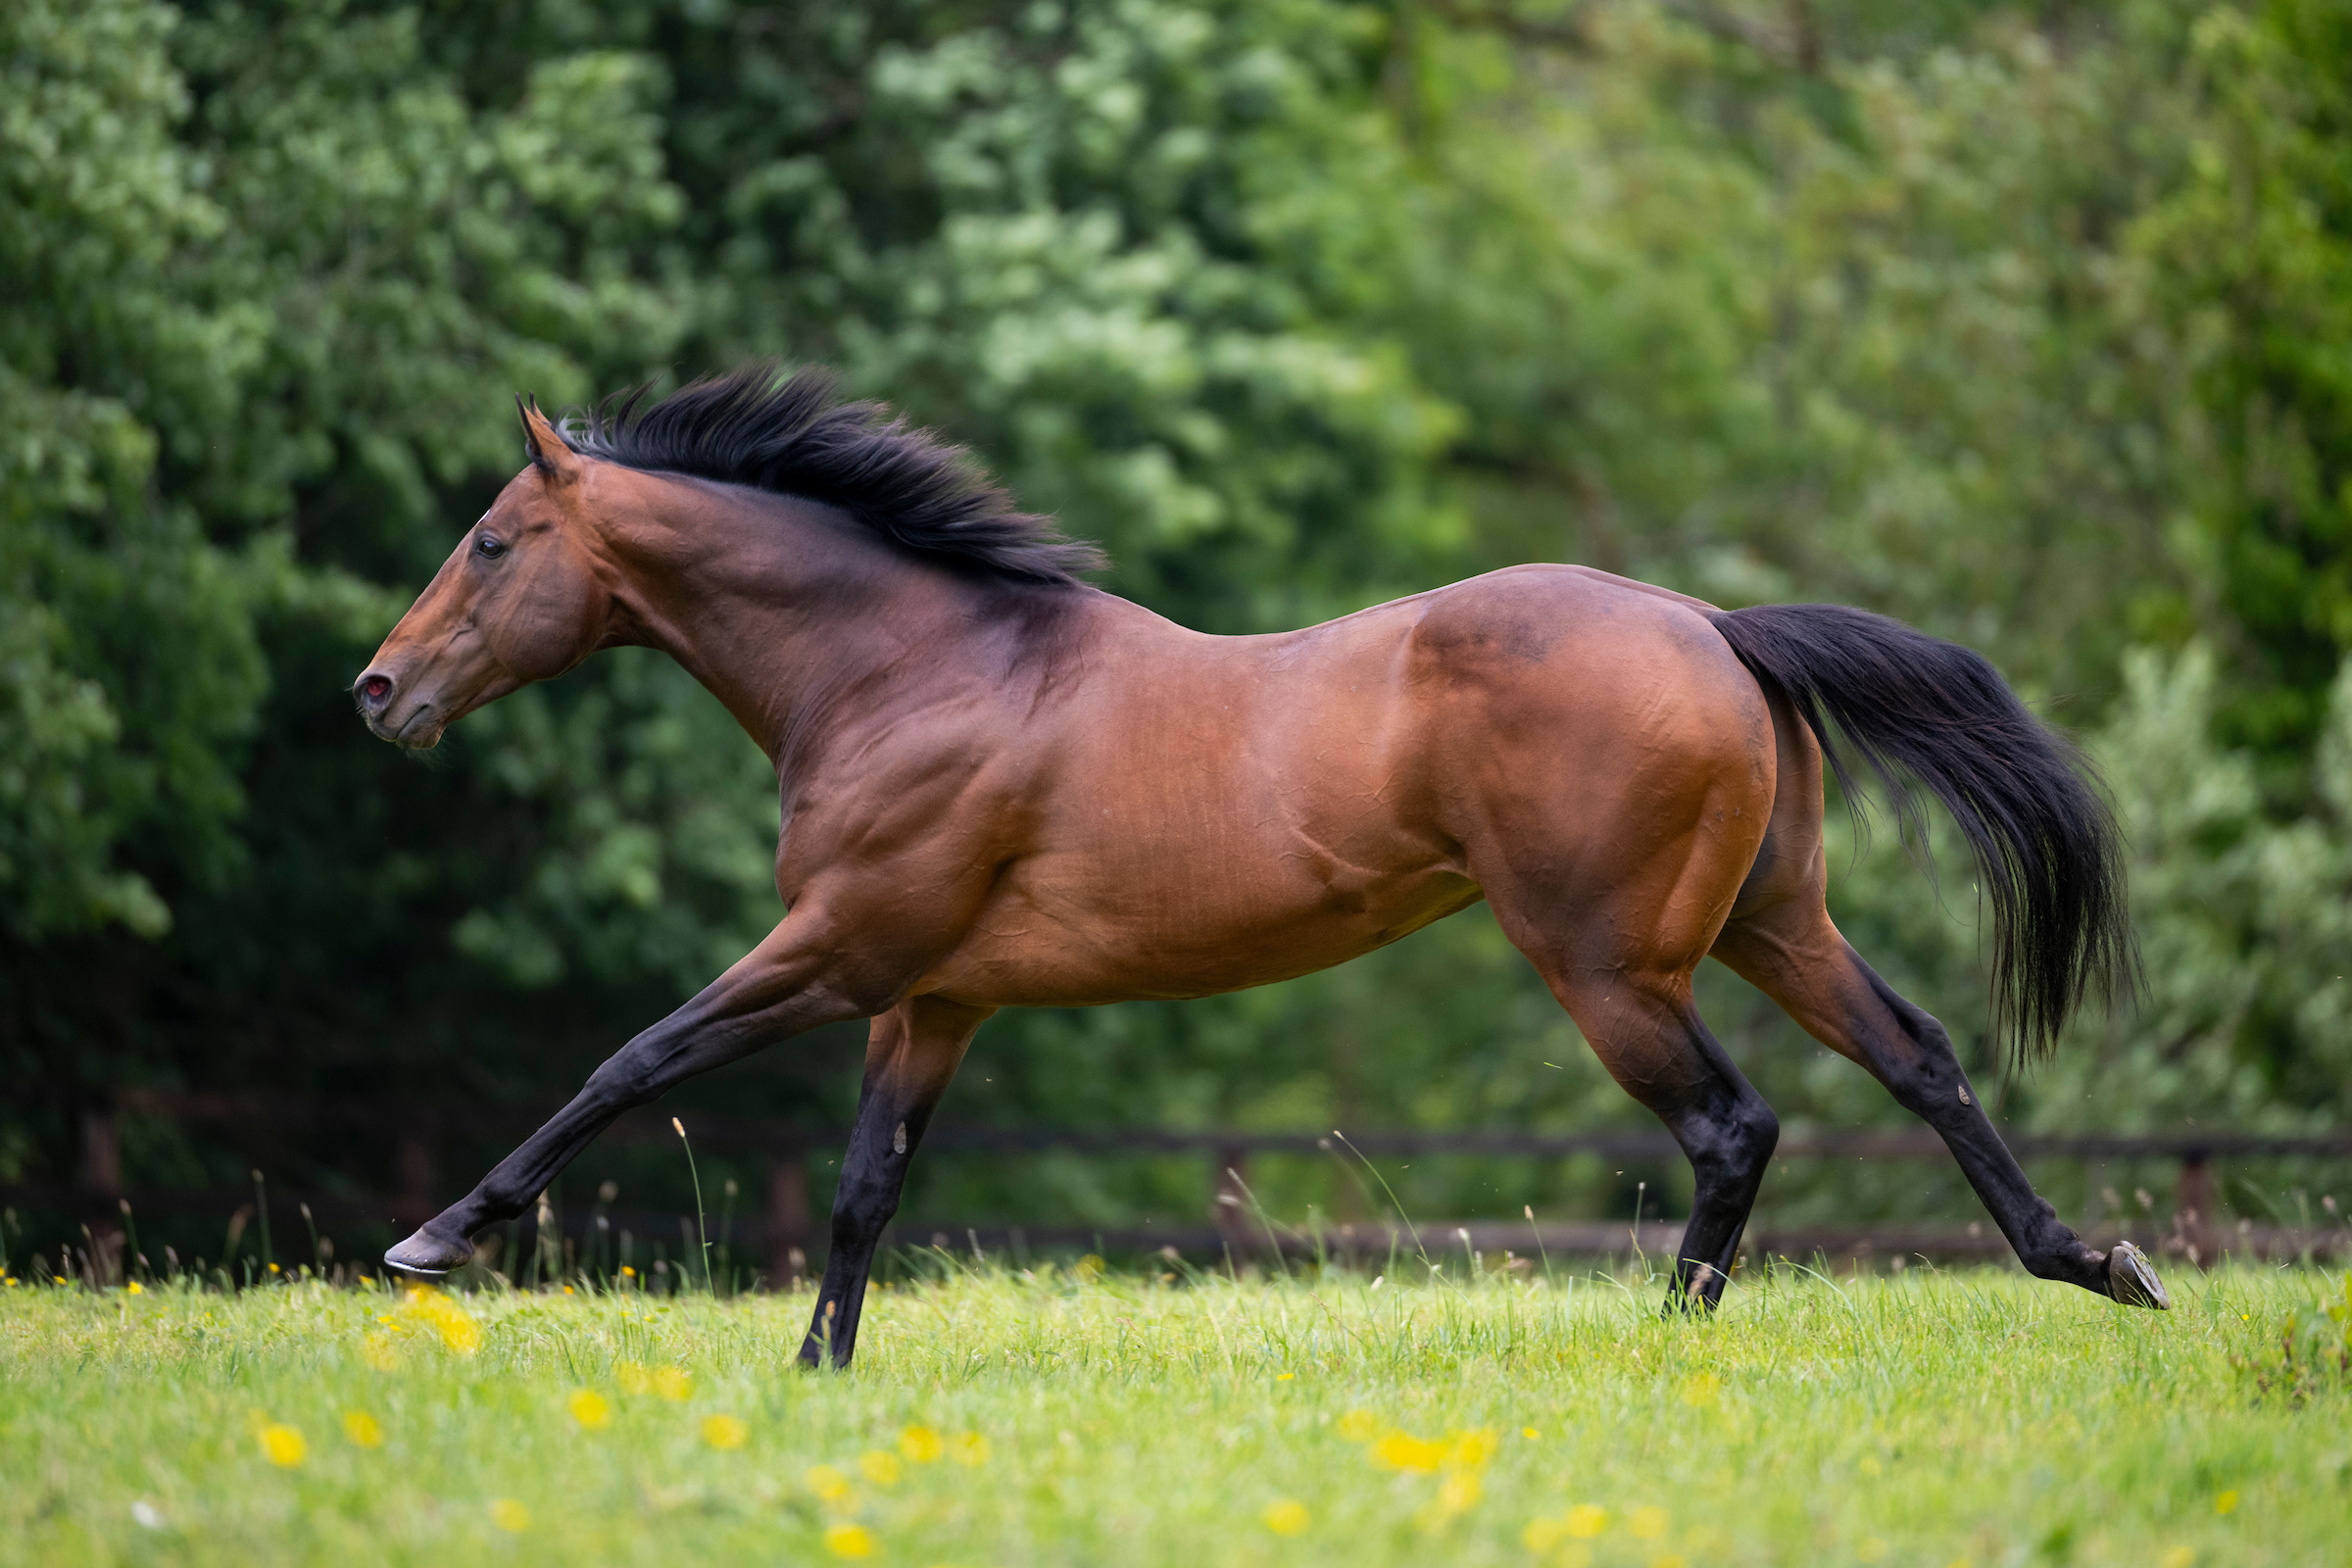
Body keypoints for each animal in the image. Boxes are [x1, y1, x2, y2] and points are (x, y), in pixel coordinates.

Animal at [353, 364, 2164, 1363]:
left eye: (492, 543)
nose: (379, 692)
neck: (916, 666)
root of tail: (1714, 626)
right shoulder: (928, 1000)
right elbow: (867, 1193)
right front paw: (817, 1377)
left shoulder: (839, 950)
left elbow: (632, 1057)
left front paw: (434, 1242)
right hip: (1770, 923)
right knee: (1921, 1059)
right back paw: (2094, 1262)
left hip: (1608, 963)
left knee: (1736, 1127)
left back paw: (1665, 1337)